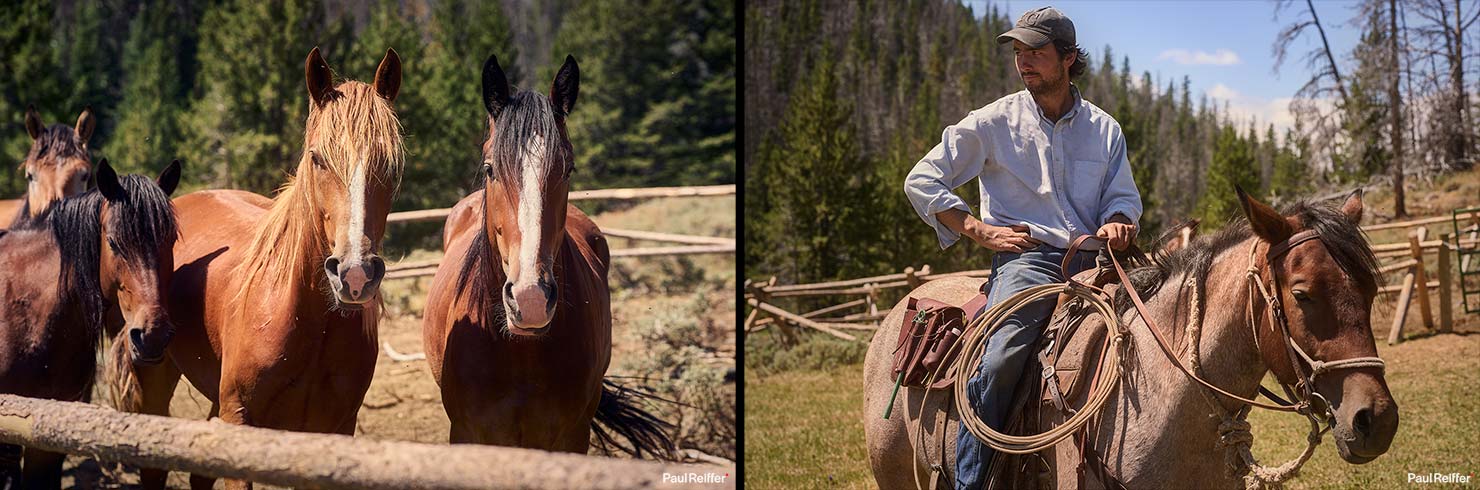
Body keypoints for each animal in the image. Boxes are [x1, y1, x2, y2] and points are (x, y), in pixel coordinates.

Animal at [116, 47, 405, 490]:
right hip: (155, 380)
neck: (299, 315)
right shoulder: (240, 422)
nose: (355, 274)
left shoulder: (334, 433)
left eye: (389, 163)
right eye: (317, 158)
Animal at [423, 53, 677, 461]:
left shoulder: (572, 437)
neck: (521, 355)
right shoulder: (467, 433)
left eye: (568, 167)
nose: (531, 299)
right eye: (490, 167)